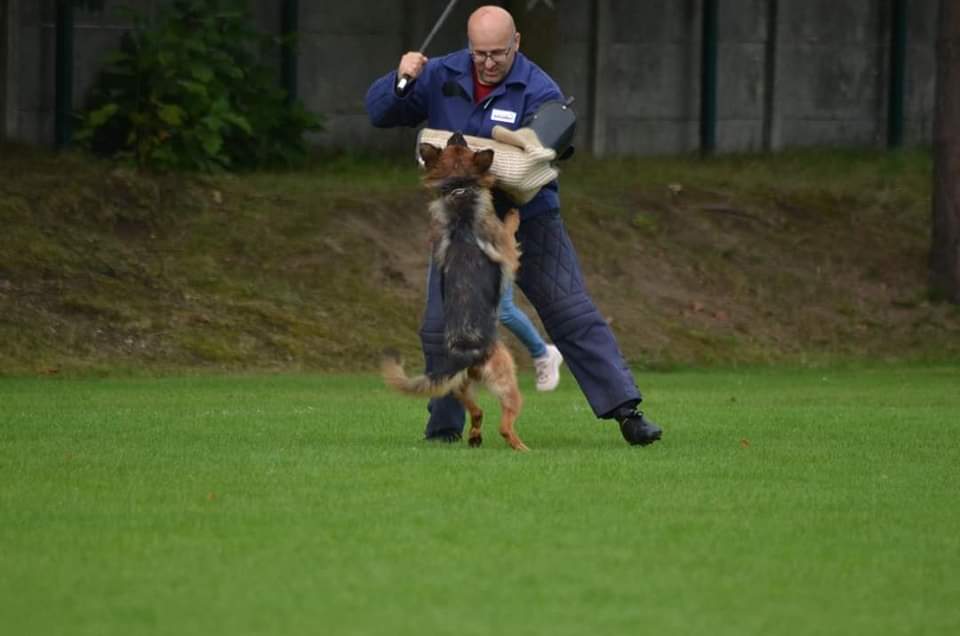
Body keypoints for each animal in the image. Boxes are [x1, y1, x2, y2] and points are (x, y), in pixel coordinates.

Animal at [382, 132, 528, 451]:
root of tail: (465, 357)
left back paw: (474, 436)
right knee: (504, 423)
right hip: (507, 377)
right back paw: (521, 447)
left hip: (458, 387)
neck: (459, 189)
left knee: (477, 411)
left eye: (456, 145)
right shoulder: (506, 248)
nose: (457, 133)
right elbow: (509, 231)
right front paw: (513, 214)